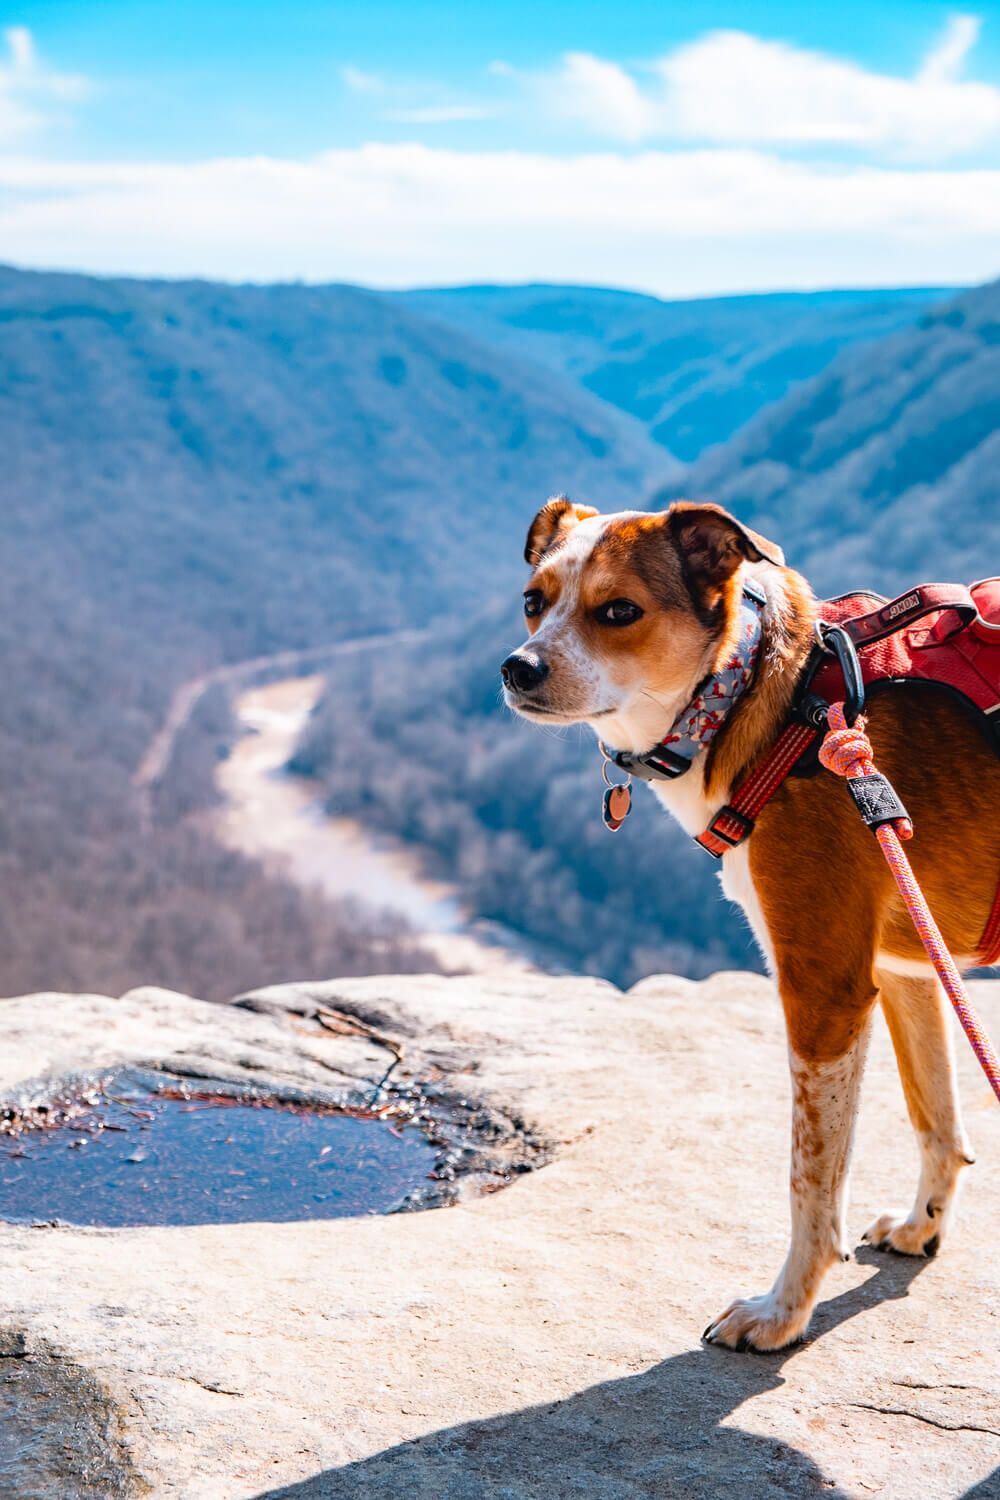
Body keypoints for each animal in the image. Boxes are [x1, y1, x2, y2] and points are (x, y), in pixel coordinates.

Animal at [500, 498, 995, 1356]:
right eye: (535, 600)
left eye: (618, 611)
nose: (517, 668)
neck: (763, 698)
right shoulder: (905, 966)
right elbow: (935, 1115)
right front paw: (922, 1225)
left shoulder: (825, 990)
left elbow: (810, 1175)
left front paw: (783, 1311)